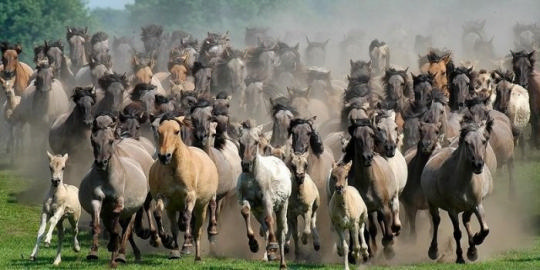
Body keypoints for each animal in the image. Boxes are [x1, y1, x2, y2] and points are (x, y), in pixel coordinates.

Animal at [79, 113, 153, 266]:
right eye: (93, 140)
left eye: (111, 140)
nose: (101, 163)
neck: (106, 177)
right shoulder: (97, 201)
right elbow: (98, 225)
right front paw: (93, 252)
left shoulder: (120, 203)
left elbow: (117, 227)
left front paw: (115, 247)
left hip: (135, 207)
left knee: (128, 228)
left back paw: (122, 254)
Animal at [149, 115, 218, 260]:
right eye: (159, 131)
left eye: (177, 131)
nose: (164, 156)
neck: (176, 169)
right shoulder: (165, 198)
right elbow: (158, 214)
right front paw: (168, 241)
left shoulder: (190, 196)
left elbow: (187, 217)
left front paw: (186, 246)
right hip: (173, 208)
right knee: (176, 227)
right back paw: (175, 249)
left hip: (202, 205)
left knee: (199, 226)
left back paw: (199, 254)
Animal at [236, 121, 292, 268]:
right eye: (240, 141)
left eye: (255, 142)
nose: (246, 164)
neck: (253, 177)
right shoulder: (247, 200)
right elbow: (245, 212)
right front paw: (253, 244)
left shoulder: (267, 199)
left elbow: (269, 219)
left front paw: (272, 246)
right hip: (258, 211)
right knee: (264, 228)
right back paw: (270, 255)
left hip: (282, 206)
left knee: (281, 231)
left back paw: (282, 263)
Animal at [422, 109, 494, 264]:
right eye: (467, 143)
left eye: (484, 141)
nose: (478, 165)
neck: (463, 181)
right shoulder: (452, 210)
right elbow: (457, 233)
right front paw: (460, 257)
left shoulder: (477, 204)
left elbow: (485, 229)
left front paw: (477, 240)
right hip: (432, 203)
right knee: (436, 221)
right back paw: (434, 251)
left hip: (468, 208)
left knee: (466, 220)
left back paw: (472, 250)